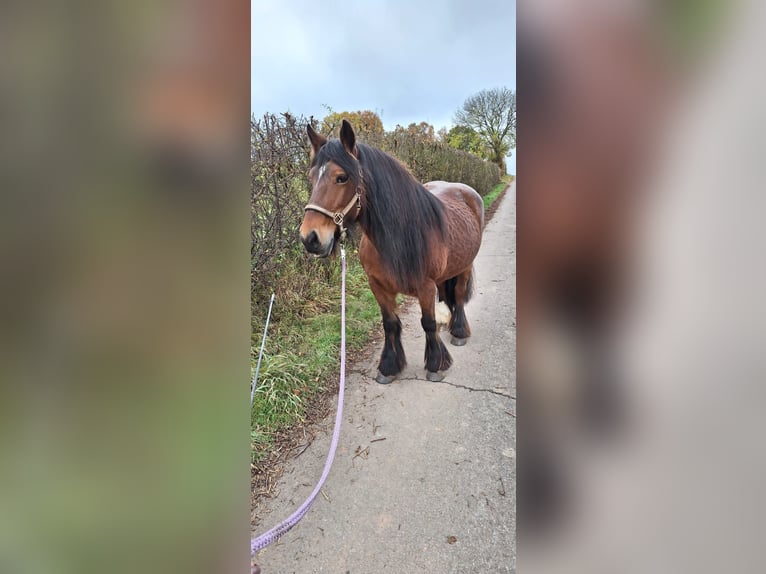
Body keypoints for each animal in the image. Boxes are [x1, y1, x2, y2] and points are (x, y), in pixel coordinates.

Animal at [299, 119, 484, 384]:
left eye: (342, 178)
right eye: (312, 178)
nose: (310, 238)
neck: (396, 238)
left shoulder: (425, 286)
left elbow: (427, 323)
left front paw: (435, 364)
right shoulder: (378, 286)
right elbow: (390, 324)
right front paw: (389, 366)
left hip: (465, 266)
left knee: (457, 296)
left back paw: (458, 331)